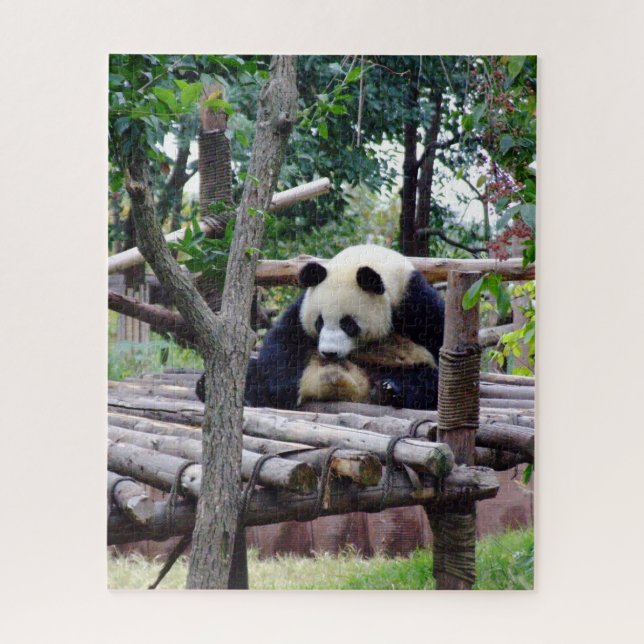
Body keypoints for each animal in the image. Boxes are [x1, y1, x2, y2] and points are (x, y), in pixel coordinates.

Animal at [235, 244, 445, 411]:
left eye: (348, 324)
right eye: (319, 322)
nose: (329, 353)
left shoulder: (417, 304)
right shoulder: (302, 306)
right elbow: (285, 340)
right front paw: (283, 389)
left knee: (423, 378)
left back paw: (387, 390)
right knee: (251, 371)